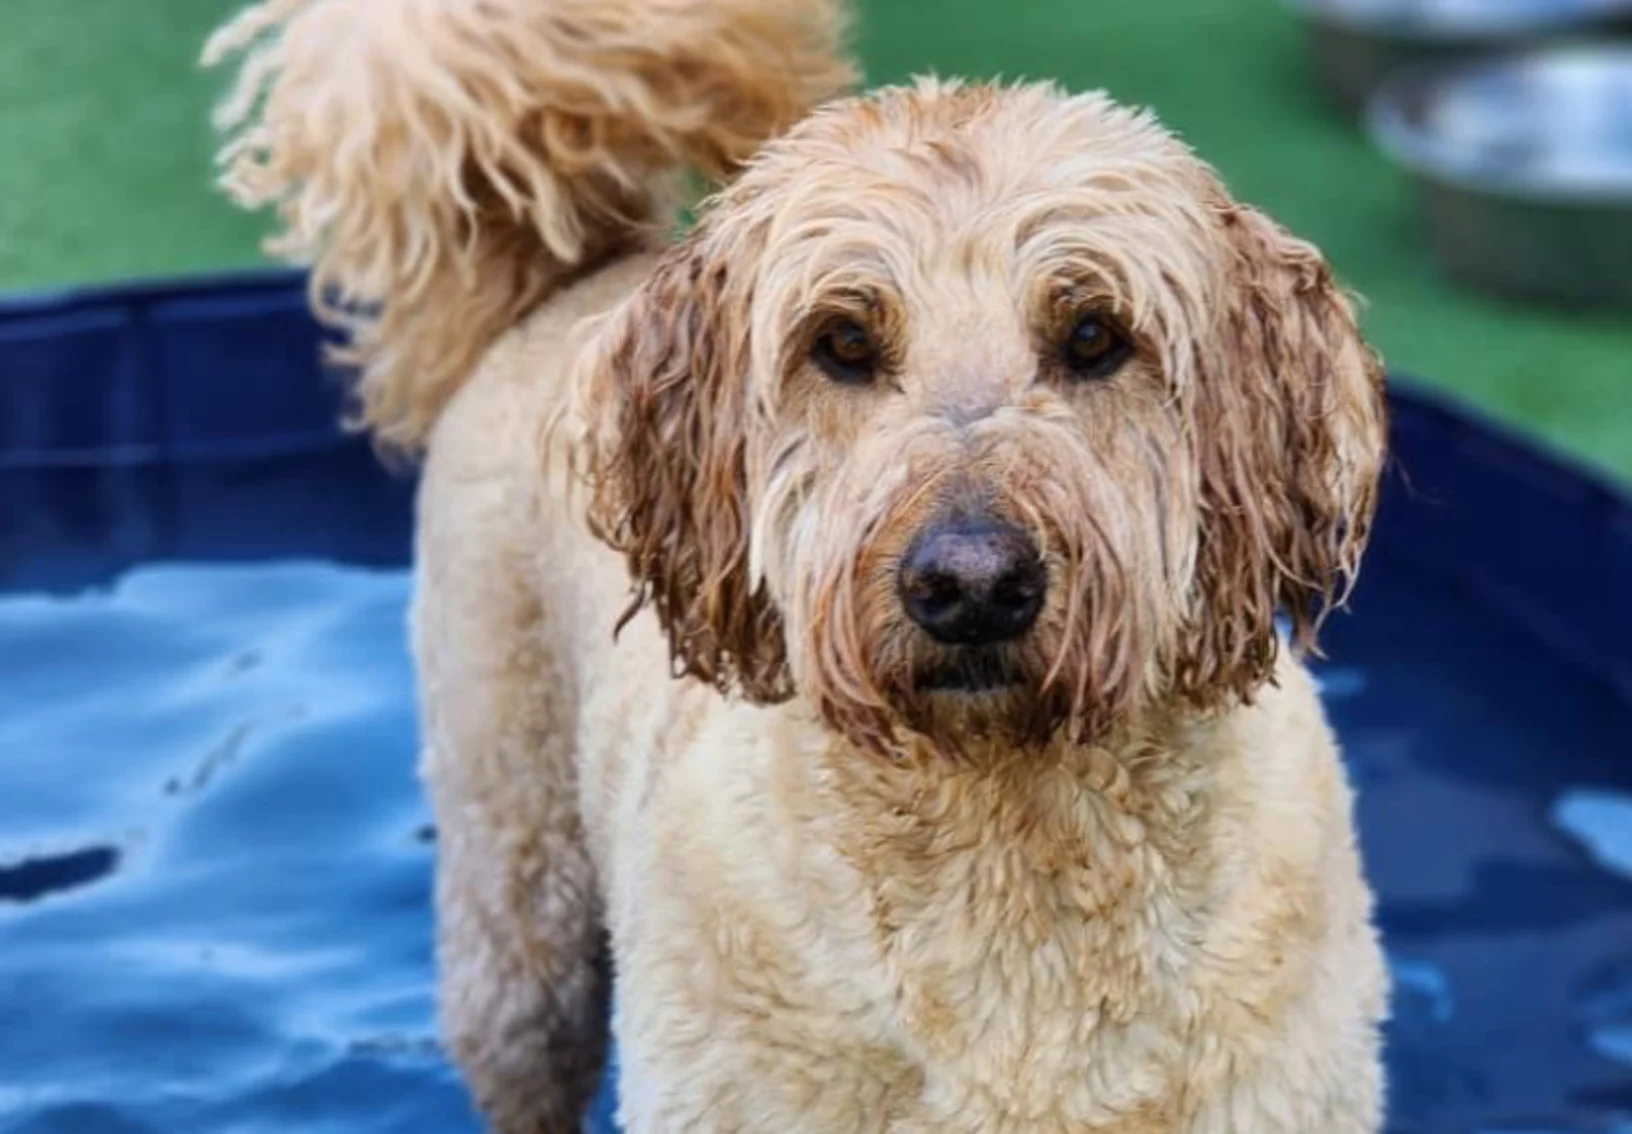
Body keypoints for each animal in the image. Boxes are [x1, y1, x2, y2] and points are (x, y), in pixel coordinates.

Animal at [204, 2, 1390, 1129]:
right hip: (515, 909)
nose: (971, 586)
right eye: (844, 343)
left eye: (1096, 335)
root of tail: (566, 268)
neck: (1007, 838)